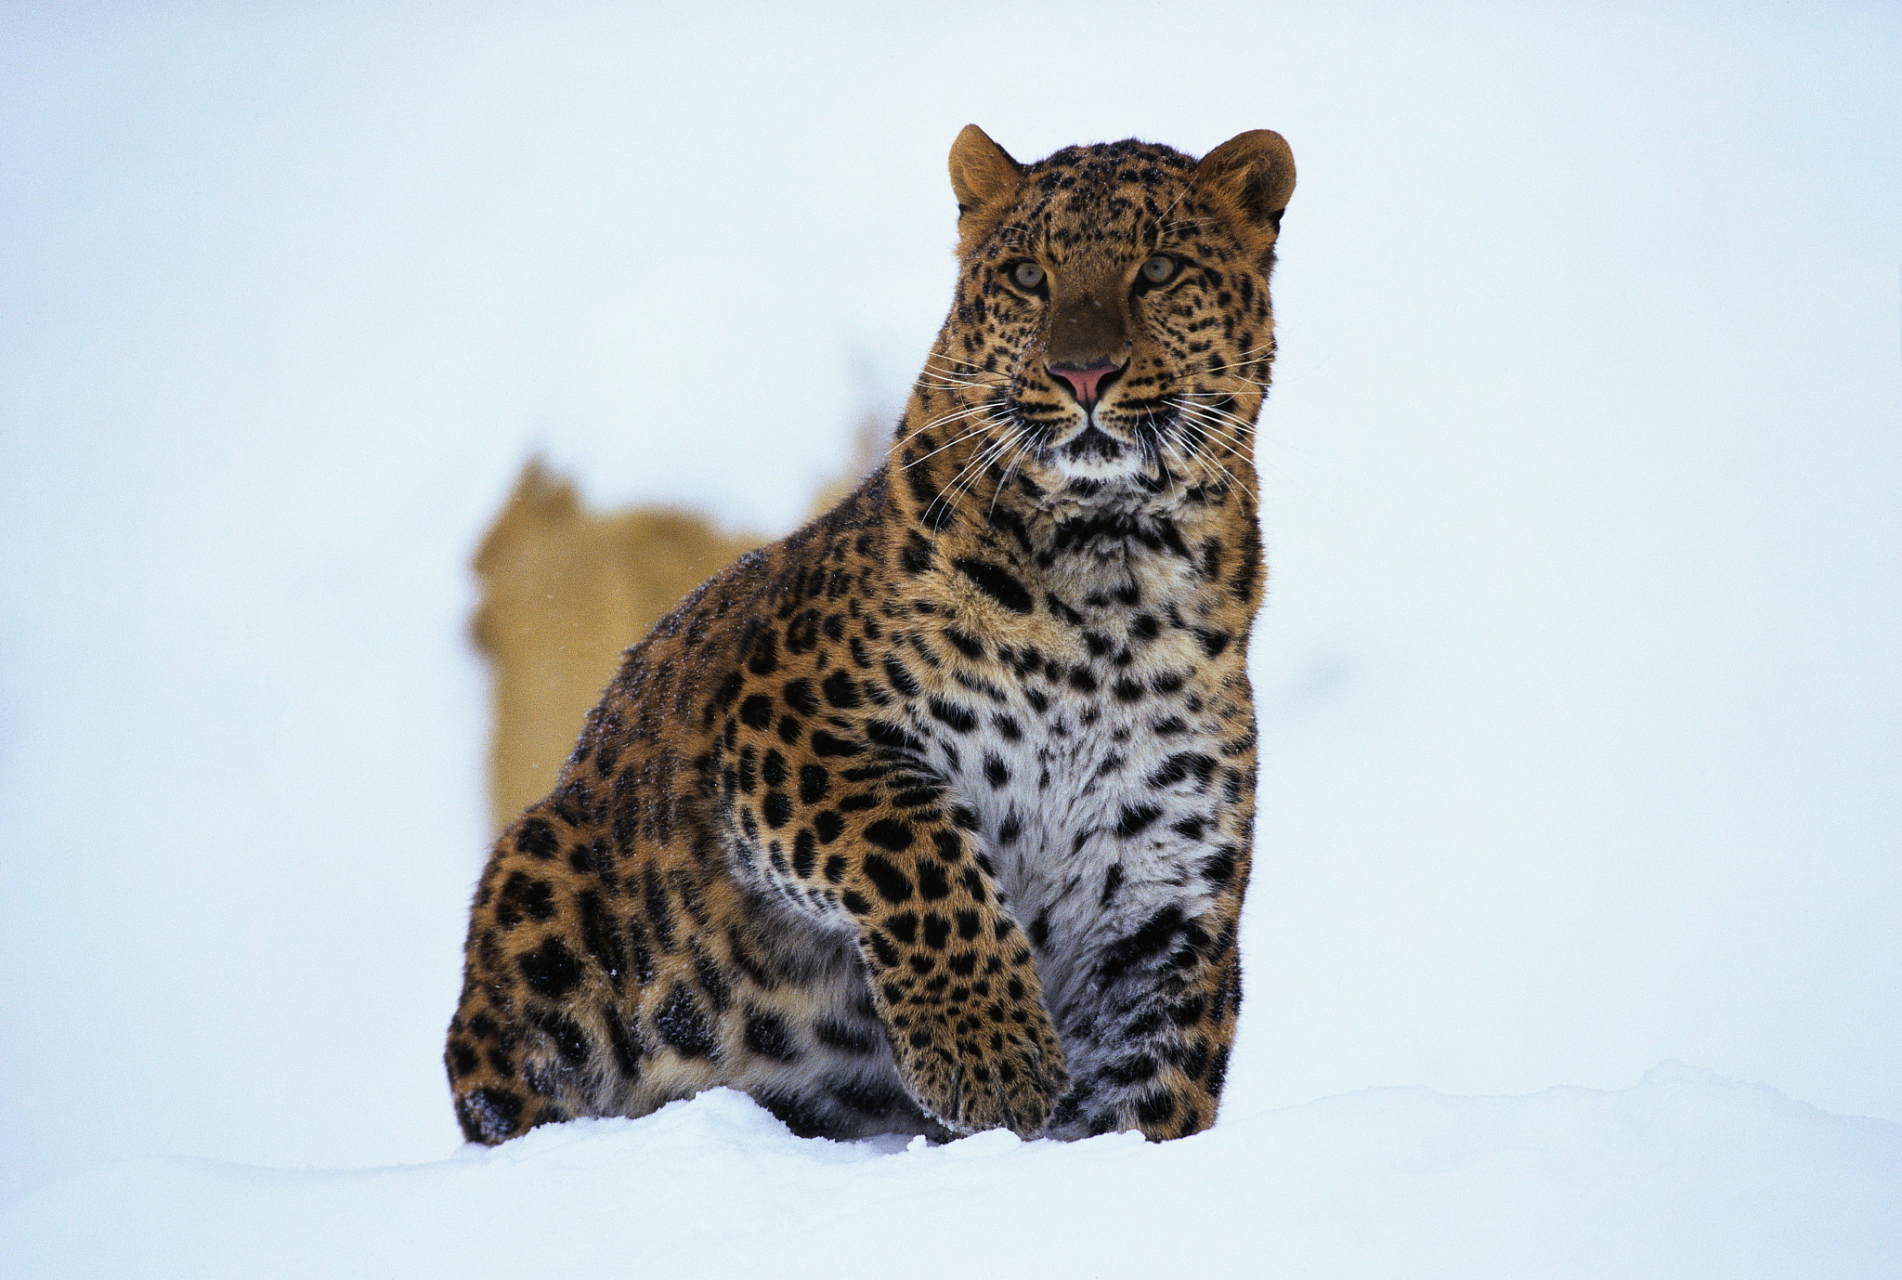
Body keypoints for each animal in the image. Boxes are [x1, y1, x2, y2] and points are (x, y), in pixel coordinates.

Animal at [448, 124, 1293, 1141]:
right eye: (1028, 276)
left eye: (1159, 269)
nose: (1082, 374)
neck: (1112, 575)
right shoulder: (786, 732)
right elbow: (918, 847)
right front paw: (991, 1056)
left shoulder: (1162, 904)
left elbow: (1151, 1087)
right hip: (536, 876)